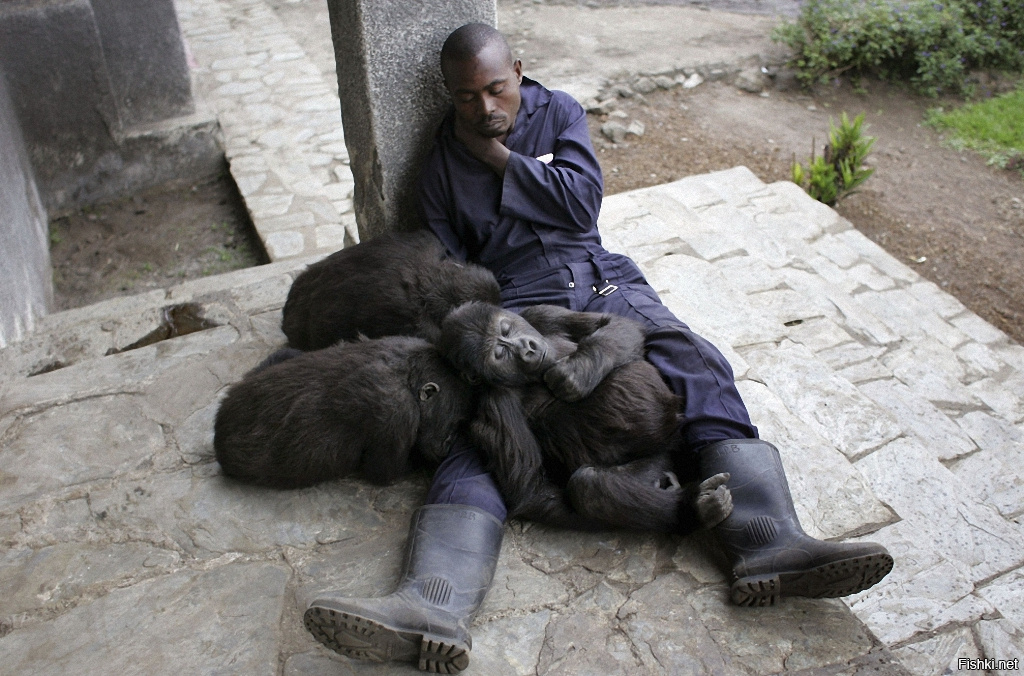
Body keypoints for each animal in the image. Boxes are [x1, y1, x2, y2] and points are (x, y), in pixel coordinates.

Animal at [215, 335, 475, 485]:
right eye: (454, 424)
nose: (448, 443)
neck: (408, 374)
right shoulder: (398, 411)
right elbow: (384, 473)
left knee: (289, 353)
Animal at [438, 303, 729, 532]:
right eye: (500, 354)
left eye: (506, 329)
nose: (527, 349)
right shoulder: (496, 404)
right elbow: (532, 490)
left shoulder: (539, 314)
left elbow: (615, 323)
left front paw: (578, 371)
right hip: (659, 459)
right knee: (588, 486)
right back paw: (690, 511)